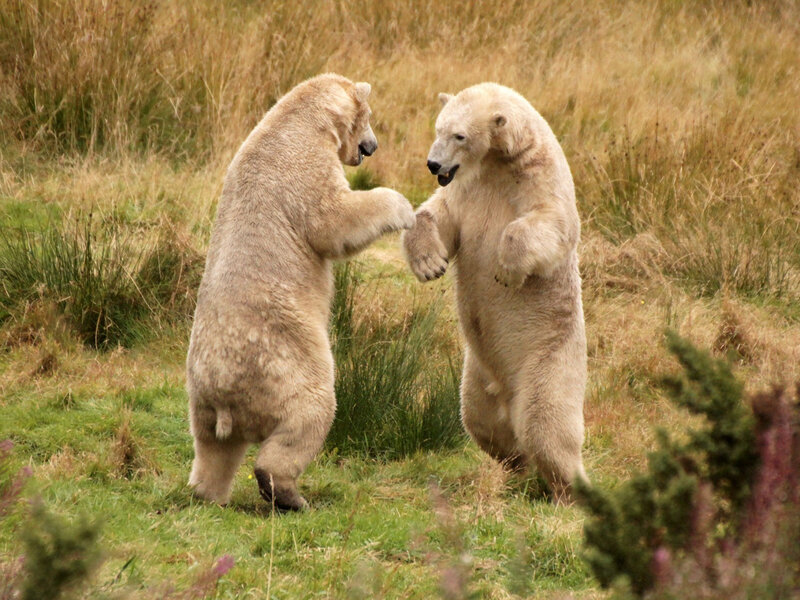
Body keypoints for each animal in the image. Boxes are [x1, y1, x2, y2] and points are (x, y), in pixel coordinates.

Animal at [186, 73, 415, 511]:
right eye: (369, 117)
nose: (372, 147)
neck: (297, 117)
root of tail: (224, 389)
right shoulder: (302, 163)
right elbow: (333, 217)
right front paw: (403, 206)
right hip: (282, 359)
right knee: (310, 410)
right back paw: (288, 493)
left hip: (200, 399)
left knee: (212, 448)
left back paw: (207, 493)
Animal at [402, 83, 587, 503]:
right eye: (438, 128)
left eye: (459, 136)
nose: (433, 164)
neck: (500, 162)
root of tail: (507, 390)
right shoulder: (466, 189)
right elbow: (437, 215)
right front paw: (429, 263)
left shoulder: (540, 177)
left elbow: (553, 224)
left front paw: (506, 269)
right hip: (476, 375)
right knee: (481, 421)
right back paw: (515, 469)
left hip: (549, 359)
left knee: (546, 425)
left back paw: (568, 491)